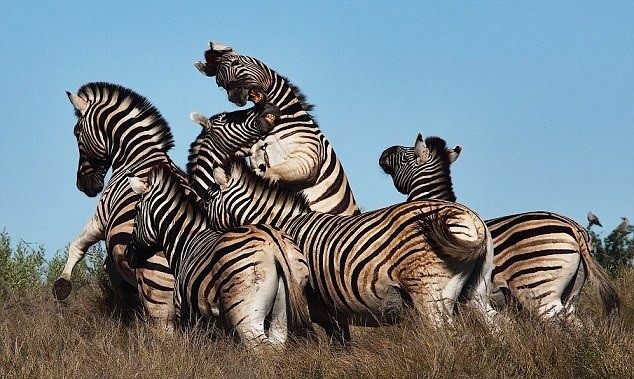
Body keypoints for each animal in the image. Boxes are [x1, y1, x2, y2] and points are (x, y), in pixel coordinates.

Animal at [52, 81, 181, 332]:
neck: (137, 154)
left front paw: (62, 285)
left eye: (76, 132)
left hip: (157, 296)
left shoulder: (101, 217)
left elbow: (77, 245)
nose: (83, 185)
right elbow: (113, 274)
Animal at [123, 165, 312, 348]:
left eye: (136, 211)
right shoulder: (218, 323)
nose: (127, 254)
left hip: (246, 314)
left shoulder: (186, 313)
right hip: (284, 308)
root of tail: (273, 241)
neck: (186, 241)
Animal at [193, 41, 358, 217]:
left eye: (236, 63)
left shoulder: (308, 159)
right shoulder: (256, 156)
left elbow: (270, 174)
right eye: (220, 84)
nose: (234, 97)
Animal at [200, 157, 496, 344]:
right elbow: (342, 347)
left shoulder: (310, 306)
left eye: (207, 200)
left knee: (448, 334)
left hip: (429, 295)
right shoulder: (331, 310)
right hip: (476, 291)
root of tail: (472, 219)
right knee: (495, 325)